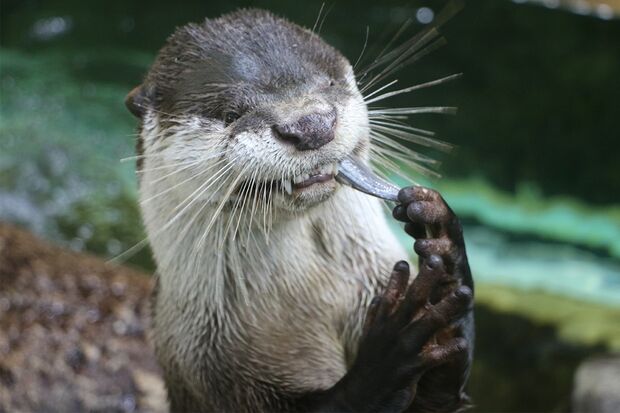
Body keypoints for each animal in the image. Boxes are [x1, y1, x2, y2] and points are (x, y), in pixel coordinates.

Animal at [124, 9, 474, 412]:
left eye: (331, 82)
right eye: (231, 113)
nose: (311, 125)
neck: (316, 294)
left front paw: (443, 244)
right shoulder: (203, 362)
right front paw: (388, 351)